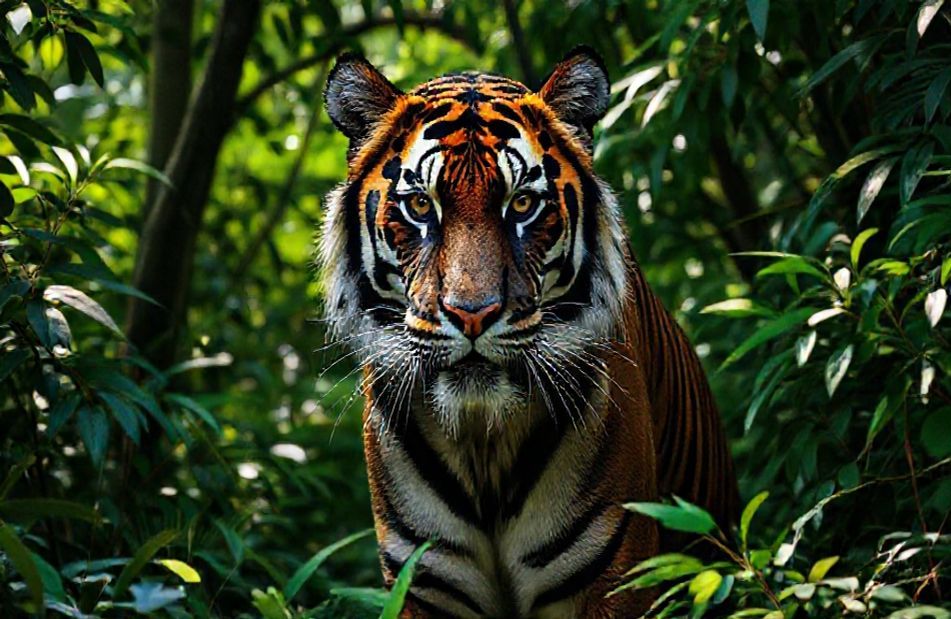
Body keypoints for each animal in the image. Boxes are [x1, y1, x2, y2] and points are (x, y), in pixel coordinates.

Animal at [319, 46, 739, 618]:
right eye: (421, 205)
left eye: (521, 204)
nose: (473, 314)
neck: (482, 444)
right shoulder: (424, 579)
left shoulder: (616, 572)